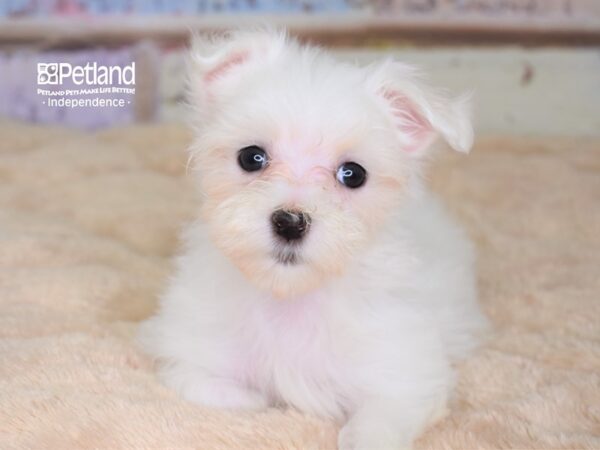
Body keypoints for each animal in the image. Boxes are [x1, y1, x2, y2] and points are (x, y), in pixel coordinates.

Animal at [141, 29, 488, 450]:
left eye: (353, 174)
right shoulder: (190, 347)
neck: (291, 297)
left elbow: (380, 422)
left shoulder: (404, 372)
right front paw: (251, 398)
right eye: (251, 157)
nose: (290, 222)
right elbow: (204, 383)